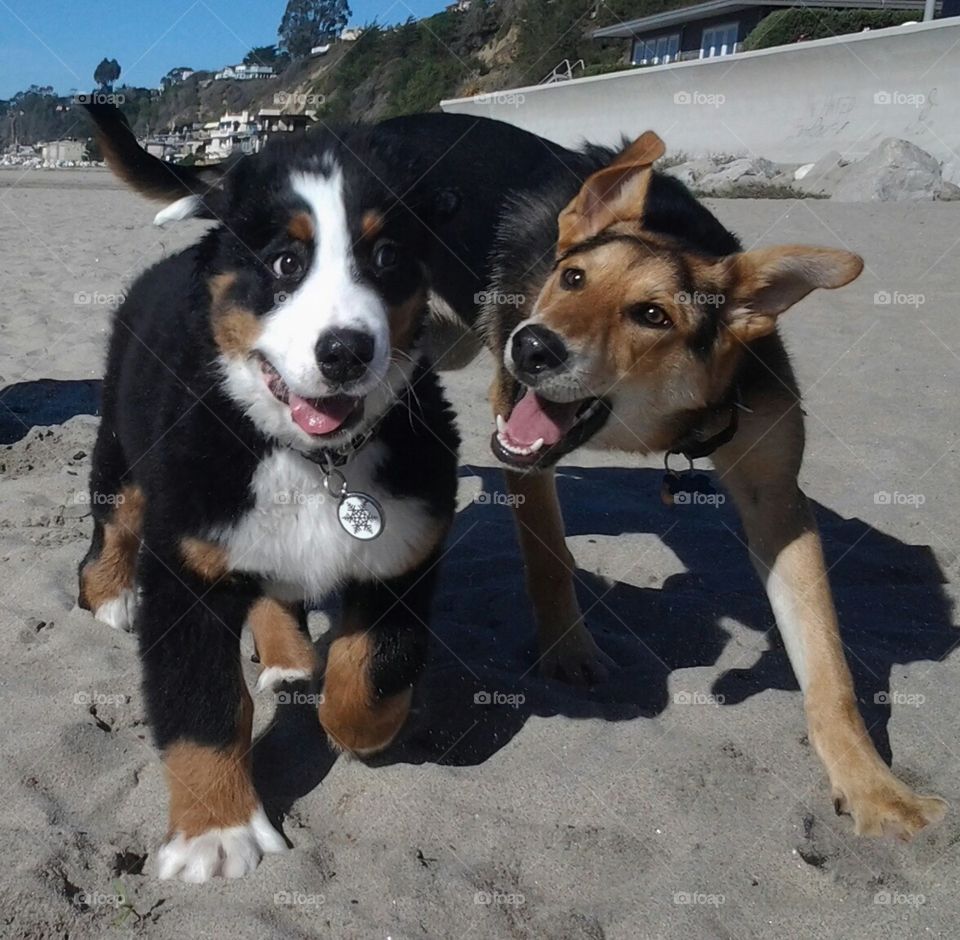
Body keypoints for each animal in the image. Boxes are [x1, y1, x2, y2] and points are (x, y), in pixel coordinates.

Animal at [77, 104, 460, 880]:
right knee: (113, 526)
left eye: (386, 258)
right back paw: (109, 596)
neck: (317, 461)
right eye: (286, 263)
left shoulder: (408, 546)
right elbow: (204, 707)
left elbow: (373, 676)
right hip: (124, 452)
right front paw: (216, 832)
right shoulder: (188, 567)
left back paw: (289, 660)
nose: (344, 351)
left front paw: (347, 723)